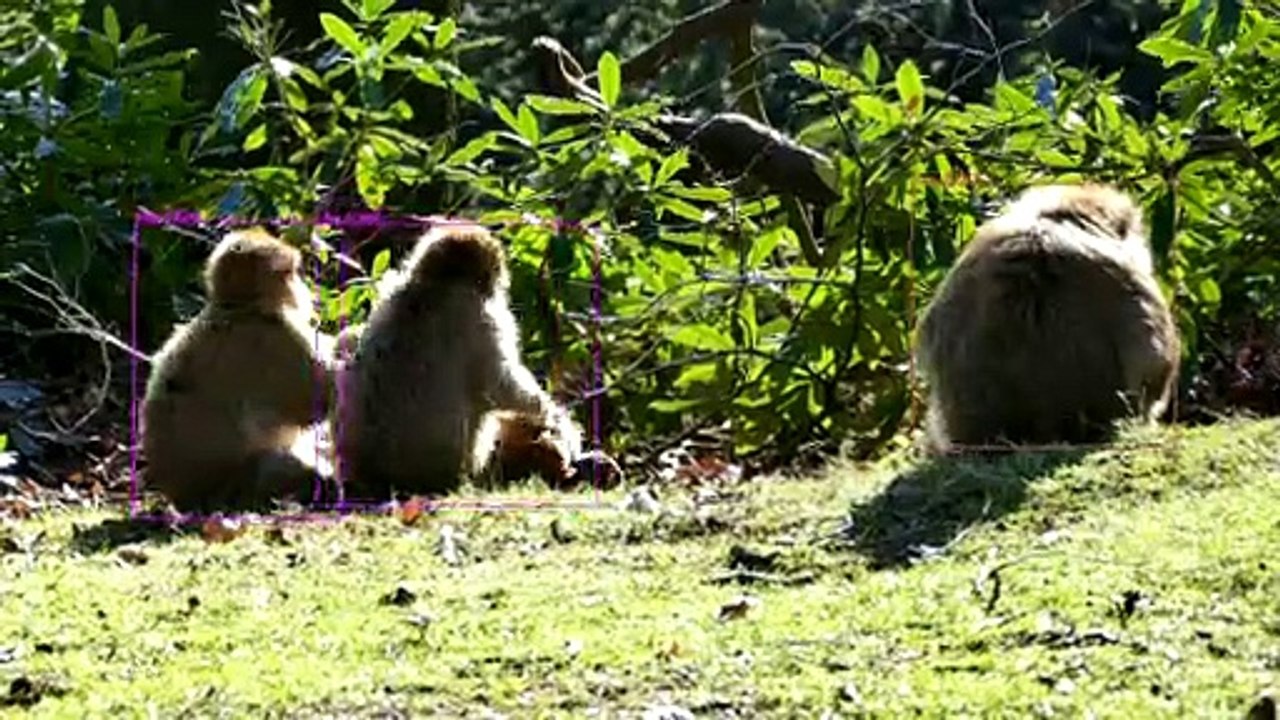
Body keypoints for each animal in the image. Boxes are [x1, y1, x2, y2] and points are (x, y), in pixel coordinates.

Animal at [141, 228, 337, 512]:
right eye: (290, 274)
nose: (305, 291)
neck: (236, 308)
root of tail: (184, 498)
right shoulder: (277, 337)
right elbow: (319, 398)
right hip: (241, 488)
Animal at [336, 224, 584, 499]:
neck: (437, 283)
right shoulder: (484, 315)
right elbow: (501, 387)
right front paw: (556, 423)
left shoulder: (393, 287)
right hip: (463, 462)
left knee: (348, 339)